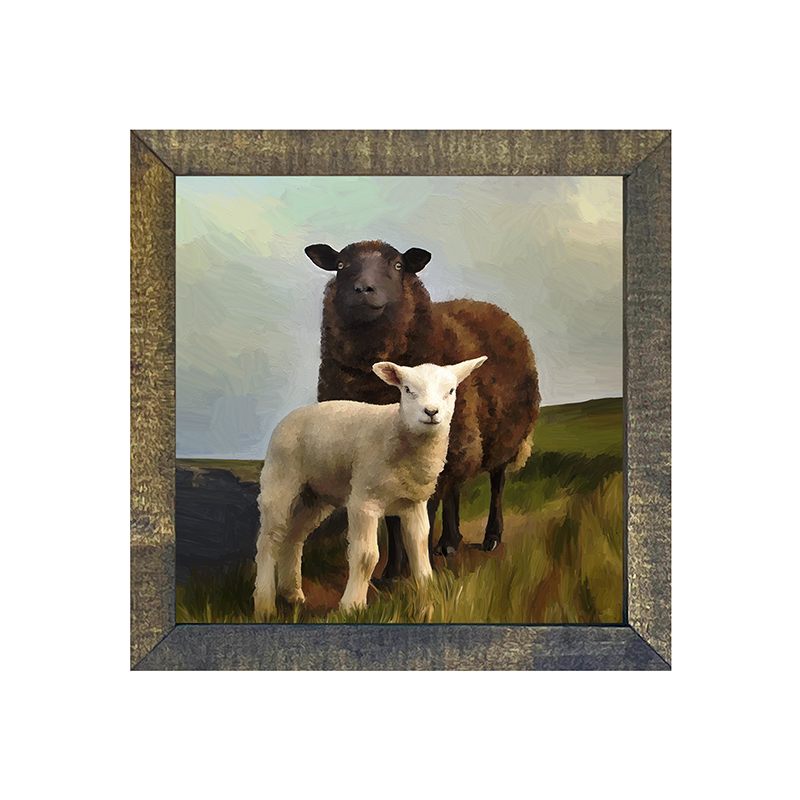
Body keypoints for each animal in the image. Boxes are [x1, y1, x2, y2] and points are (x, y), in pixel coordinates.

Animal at [253, 356, 487, 617]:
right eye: (407, 389)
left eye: (451, 390)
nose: (431, 412)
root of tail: (288, 418)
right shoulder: (364, 501)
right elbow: (367, 556)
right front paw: (352, 606)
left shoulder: (414, 503)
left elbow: (419, 550)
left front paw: (427, 603)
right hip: (281, 480)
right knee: (269, 539)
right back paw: (264, 605)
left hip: (315, 496)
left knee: (293, 537)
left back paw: (292, 593)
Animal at [305, 240, 540, 579]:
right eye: (339, 264)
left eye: (398, 265)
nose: (363, 289)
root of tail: (486, 304)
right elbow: (394, 519)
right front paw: (392, 571)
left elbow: (422, 514)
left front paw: (417, 566)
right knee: (455, 487)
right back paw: (450, 542)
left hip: (502, 434)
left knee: (496, 482)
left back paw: (490, 537)